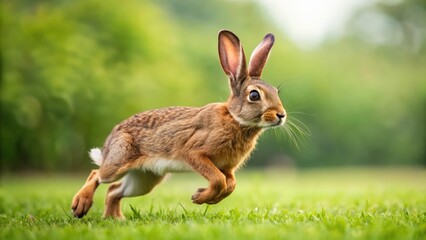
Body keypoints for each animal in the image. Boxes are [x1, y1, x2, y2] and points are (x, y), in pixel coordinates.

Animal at [72, 30, 286, 219]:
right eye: (254, 95)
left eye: (276, 92)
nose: (281, 115)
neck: (235, 119)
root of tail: (110, 141)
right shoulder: (193, 152)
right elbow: (218, 180)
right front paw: (199, 197)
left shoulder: (227, 168)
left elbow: (231, 185)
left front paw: (207, 198)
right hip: (119, 161)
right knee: (97, 174)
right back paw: (81, 205)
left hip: (145, 179)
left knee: (114, 190)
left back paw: (114, 218)